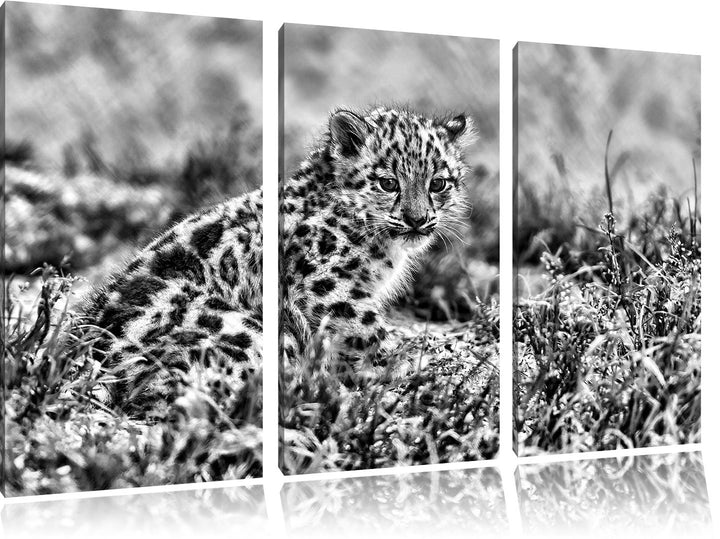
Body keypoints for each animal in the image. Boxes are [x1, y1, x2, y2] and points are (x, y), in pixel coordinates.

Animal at [281, 106, 474, 382]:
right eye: (389, 183)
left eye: (437, 184)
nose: (417, 219)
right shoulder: (323, 283)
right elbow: (364, 324)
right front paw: (401, 360)